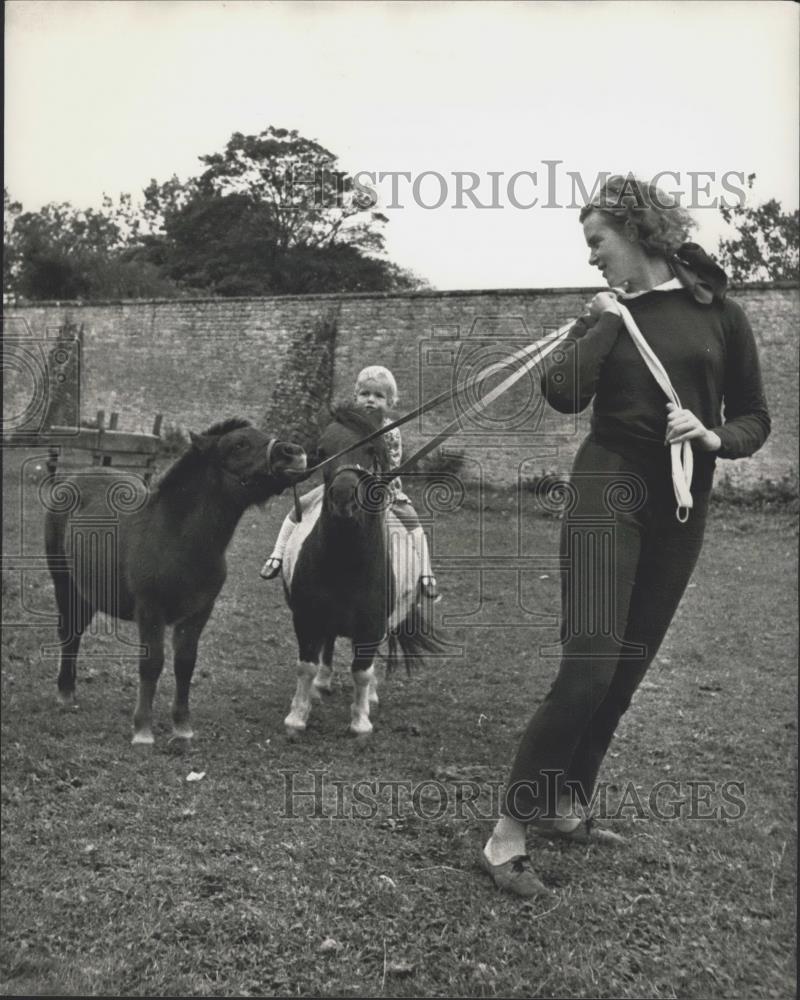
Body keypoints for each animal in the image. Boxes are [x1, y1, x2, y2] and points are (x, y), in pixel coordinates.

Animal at [44, 416, 306, 744]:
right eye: (239, 444)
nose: (294, 452)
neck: (178, 537)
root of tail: (75, 477)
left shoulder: (198, 612)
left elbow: (185, 664)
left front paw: (182, 727)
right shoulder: (150, 610)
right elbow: (152, 663)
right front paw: (143, 730)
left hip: (88, 590)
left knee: (76, 632)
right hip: (64, 583)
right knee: (69, 633)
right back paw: (64, 693)